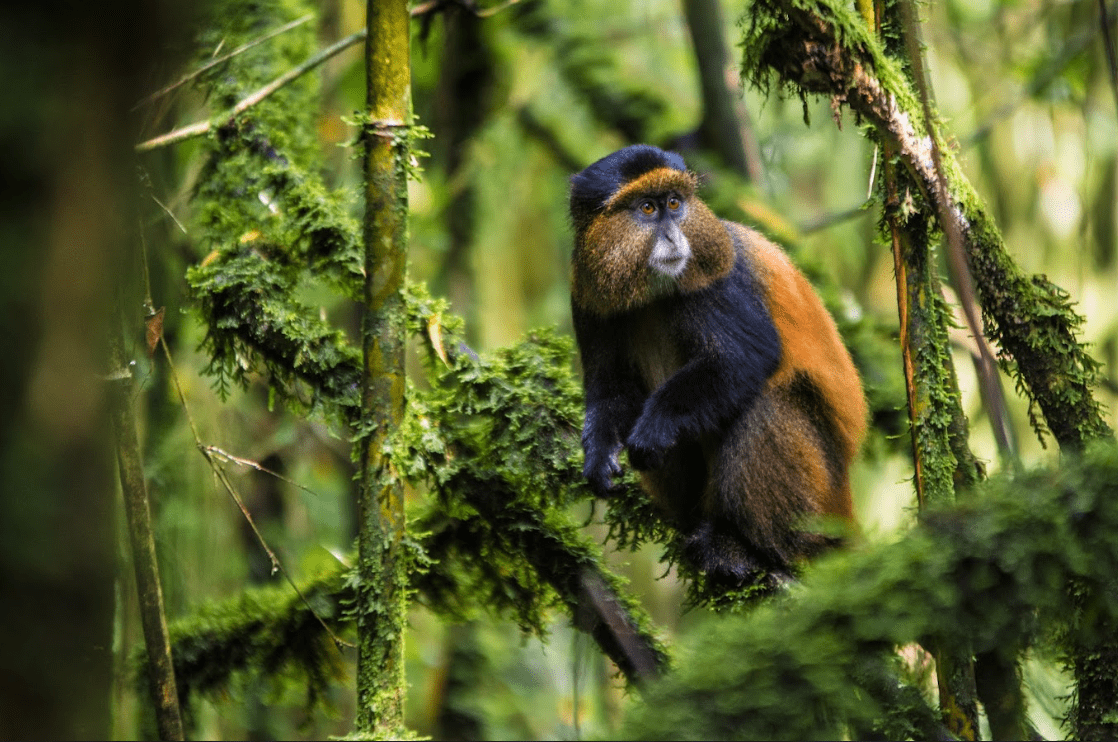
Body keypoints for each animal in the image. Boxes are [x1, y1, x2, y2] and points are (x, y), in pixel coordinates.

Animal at [569, 144, 867, 585]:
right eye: (647, 208)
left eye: (675, 204)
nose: (674, 236)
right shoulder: (587, 297)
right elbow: (611, 388)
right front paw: (599, 453)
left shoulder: (718, 278)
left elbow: (744, 358)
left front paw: (654, 428)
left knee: (766, 401)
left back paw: (747, 548)